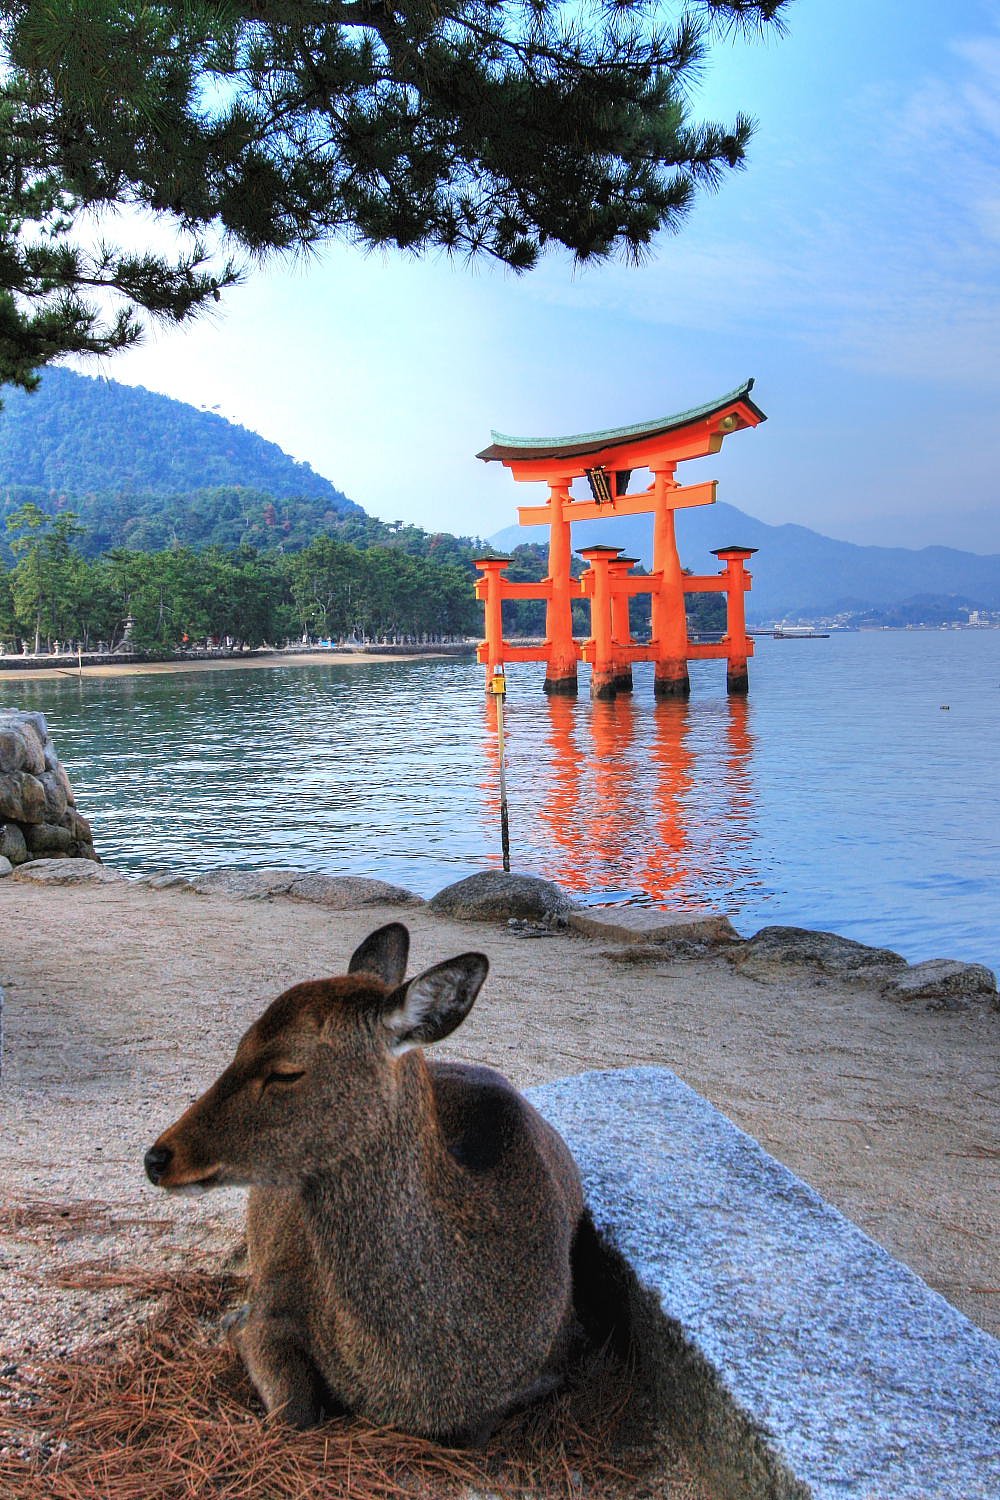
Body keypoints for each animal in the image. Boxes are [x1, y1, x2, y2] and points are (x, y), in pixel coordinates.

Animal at [144, 922, 588, 1440]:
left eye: (287, 1071)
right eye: (238, 1045)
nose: (157, 1158)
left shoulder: (558, 1360)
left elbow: (474, 1435)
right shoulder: (275, 1305)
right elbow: (293, 1412)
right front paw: (232, 1321)